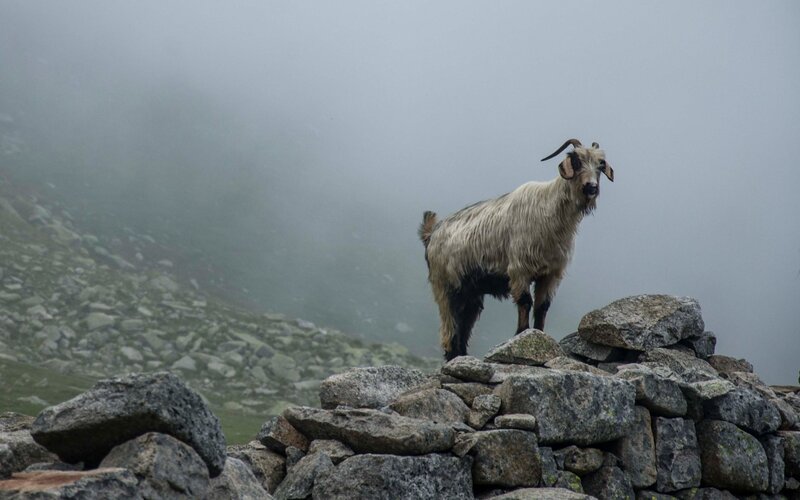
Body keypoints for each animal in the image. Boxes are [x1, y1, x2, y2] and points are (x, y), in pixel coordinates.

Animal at [419, 139, 614, 360]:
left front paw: (539, 336)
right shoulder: (520, 269)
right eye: (576, 160)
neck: (550, 209)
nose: (591, 188)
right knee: (449, 328)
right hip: (445, 287)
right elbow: (525, 302)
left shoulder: (551, 274)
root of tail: (431, 233)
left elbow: (542, 307)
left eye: (600, 164)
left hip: (471, 293)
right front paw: (522, 335)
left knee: (465, 324)